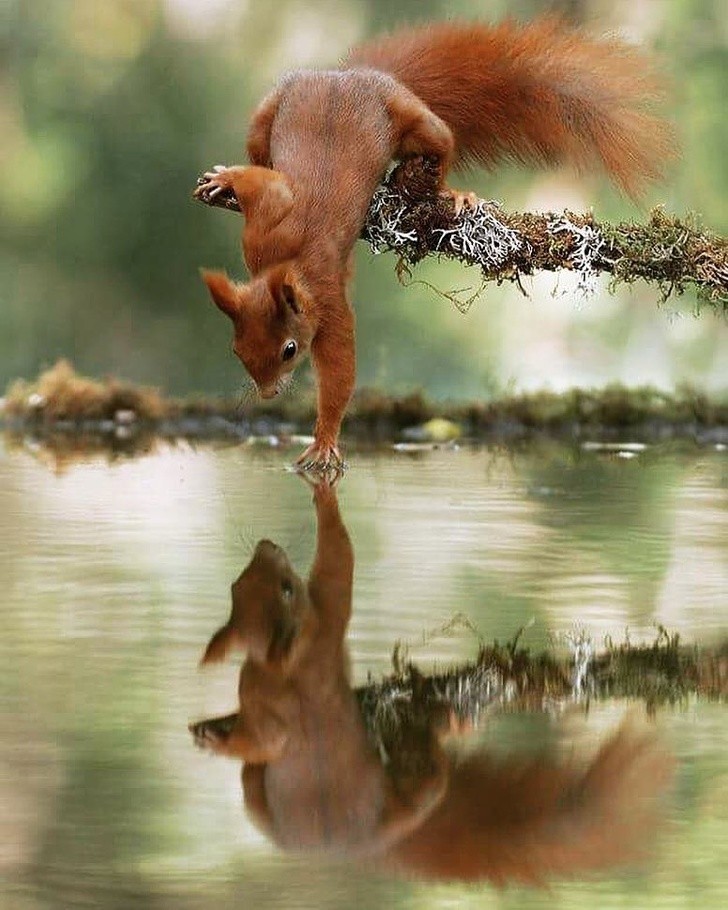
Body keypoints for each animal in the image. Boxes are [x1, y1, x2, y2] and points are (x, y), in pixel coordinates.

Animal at [188, 478, 672, 884]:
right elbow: (338, 567)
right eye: (241, 586)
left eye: (279, 586)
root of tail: (370, 848)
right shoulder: (321, 633)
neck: (282, 667)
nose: (266, 545)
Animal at [195, 18, 676, 470]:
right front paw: (225, 179)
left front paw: (325, 441)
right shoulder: (263, 229)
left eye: (290, 350)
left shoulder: (327, 303)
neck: (285, 263)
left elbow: (339, 372)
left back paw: (451, 193)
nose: (267, 394)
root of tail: (352, 74)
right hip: (268, 112)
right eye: (237, 349)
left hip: (412, 120)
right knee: (259, 150)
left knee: (440, 144)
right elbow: (263, 183)